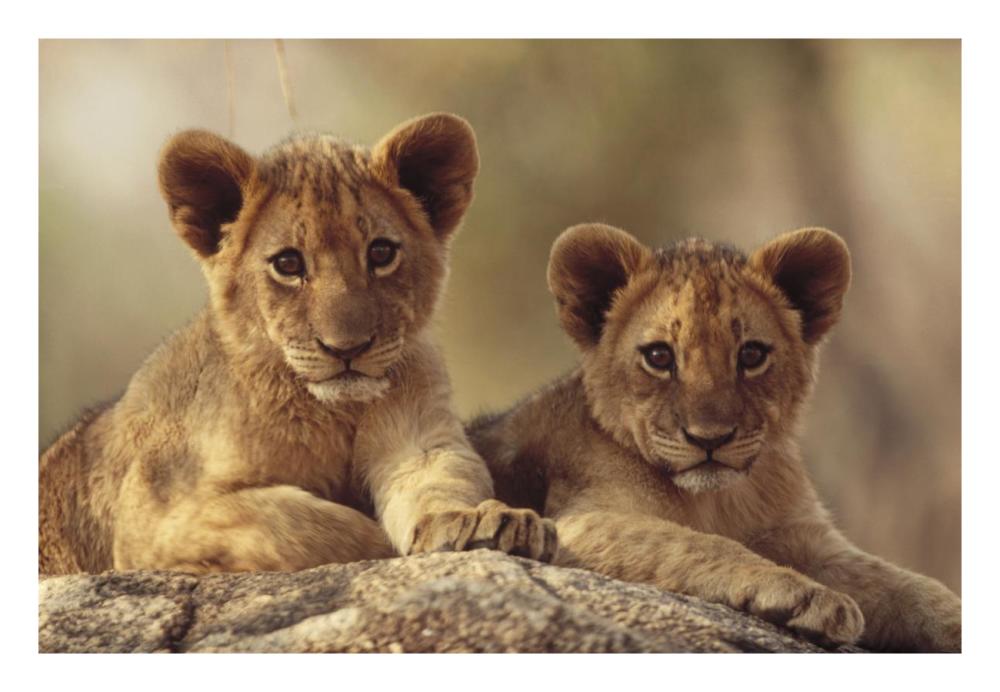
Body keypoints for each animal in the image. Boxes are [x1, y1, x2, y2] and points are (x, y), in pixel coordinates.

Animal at [39, 113, 556, 575]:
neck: (335, 415)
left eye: (381, 253)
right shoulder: (154, 516)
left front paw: (483, 521)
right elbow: (300, 524)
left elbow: (441, 479)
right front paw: (384, 546)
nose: (346, 348)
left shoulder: (423, 437)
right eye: (288, 264)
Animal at [468, 223, 961, 651]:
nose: (710, 439)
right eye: (659, 356)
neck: (721, 500)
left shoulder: (811, 539)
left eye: (752, 355)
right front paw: (809, 597)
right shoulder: (582, 523)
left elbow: (908, 584)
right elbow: (700, 543)